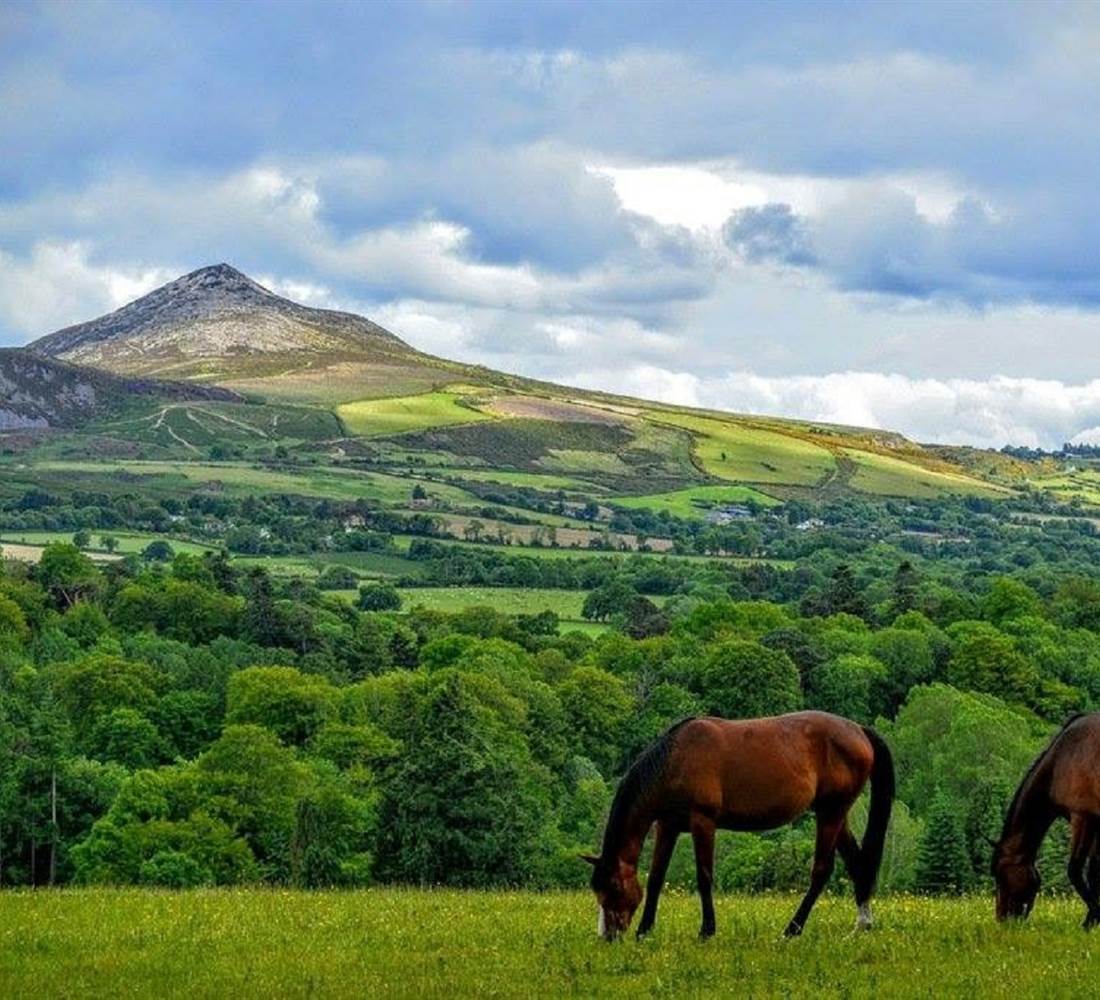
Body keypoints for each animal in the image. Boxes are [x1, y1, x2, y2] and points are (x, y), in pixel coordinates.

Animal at [582, 711, 895, 940]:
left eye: (613, 886)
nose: (608, 936)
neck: (675, 760)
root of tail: (859, 730)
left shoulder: (703, 821)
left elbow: (704, 876)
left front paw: (707, 931)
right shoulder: (667, 825)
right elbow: (656, 877)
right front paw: (645, 931)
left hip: (831, 813)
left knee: (821, 871)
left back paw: (792, 930)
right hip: (833, 814)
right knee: (858, 863)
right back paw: (861, 924)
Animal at [992, 712, 1100, 926]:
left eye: (1000, 874)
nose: (1002, 920)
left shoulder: (1082, 818)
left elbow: (1075, 870)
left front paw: (1092, 919)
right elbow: (1095, 873)